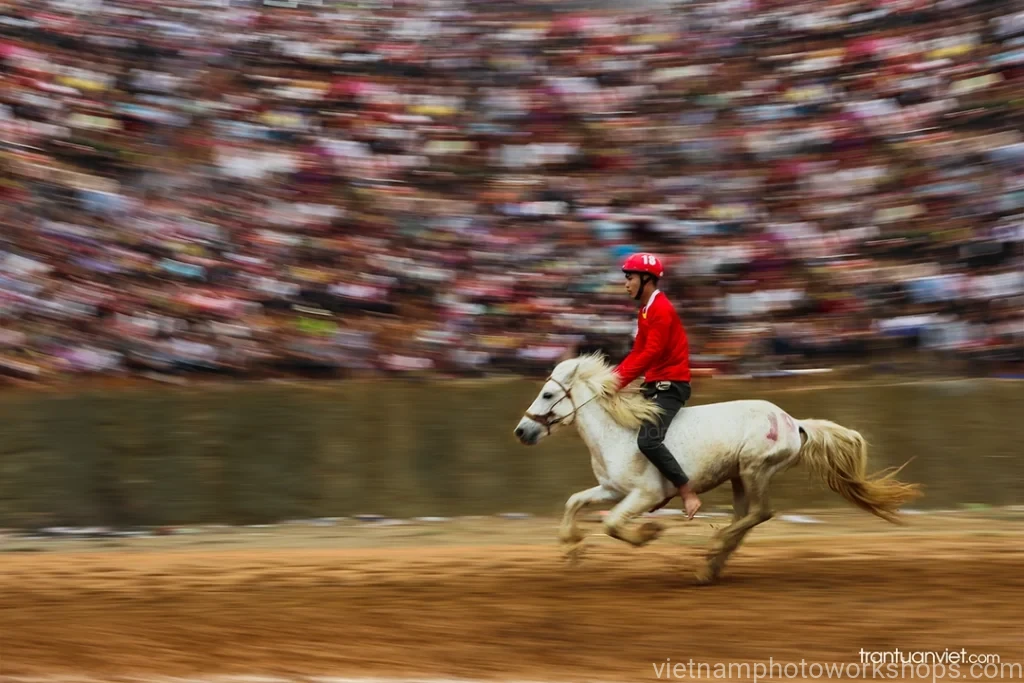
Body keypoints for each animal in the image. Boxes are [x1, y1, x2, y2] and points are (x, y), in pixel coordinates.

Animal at [512, 352, 922, 584]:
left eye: (548, 394)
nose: (522, 431)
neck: (618, 431)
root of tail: (794, 423)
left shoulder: (645, 495)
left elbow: (613, 524)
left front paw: (649, 532)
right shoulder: (612, 490)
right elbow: (574, 501)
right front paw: (571, 549)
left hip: (756, 468)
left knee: (761, 513)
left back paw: (711, 550)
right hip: (739, 475)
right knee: (746, 518)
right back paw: (709, 566)